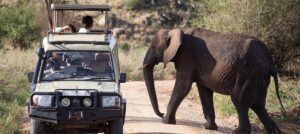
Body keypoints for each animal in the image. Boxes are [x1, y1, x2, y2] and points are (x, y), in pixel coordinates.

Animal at [143, 27, 286, 133]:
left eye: (153, 47)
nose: (161, 113)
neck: (176, 30)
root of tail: (270, 61)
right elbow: (204, 90)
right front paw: (208, 127)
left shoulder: (186, 57)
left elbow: (183, 87)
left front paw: (166, 121)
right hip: (260, 77)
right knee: (258, 105)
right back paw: (274, 132)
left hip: (248, 73)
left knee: (239, 100)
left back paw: (238, 132)